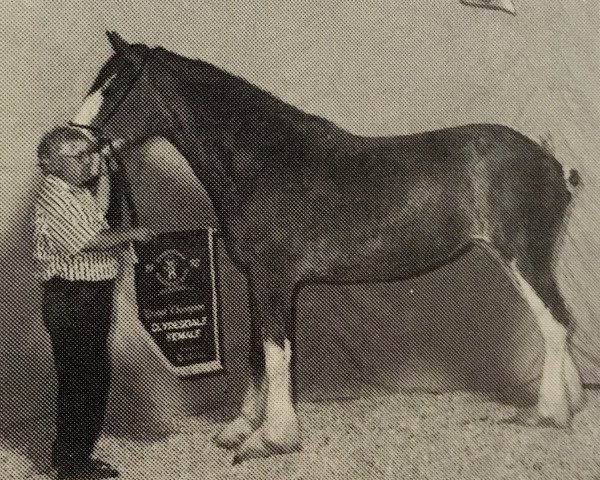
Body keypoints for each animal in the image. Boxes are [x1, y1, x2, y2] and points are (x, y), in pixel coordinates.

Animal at [69, 31, 580, 464]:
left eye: (112, 89)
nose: (69, 143)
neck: (259, 160)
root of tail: (551, 163)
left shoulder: (273, 279)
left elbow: (277, 354)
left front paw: (272, 440)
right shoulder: (257, 280)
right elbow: (257, 352)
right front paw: (240, 429)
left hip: (523, 257)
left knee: (555, 324)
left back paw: (549, 412)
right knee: (559, 322)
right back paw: (572, 403)